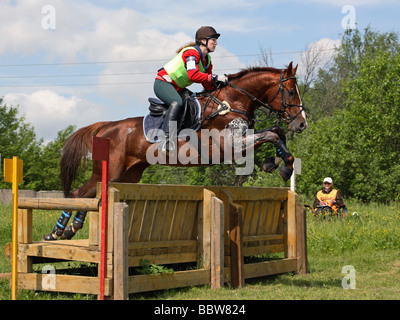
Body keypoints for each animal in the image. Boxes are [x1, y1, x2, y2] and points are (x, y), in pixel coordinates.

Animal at [43, 60, 306, 240]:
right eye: (290, 91)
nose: (302, 123)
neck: (232, 102)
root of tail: (106, 126)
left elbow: (275, 131)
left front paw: (278, 162)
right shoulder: (230, 146)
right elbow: (272, 134)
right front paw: (283, 166)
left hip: (126, 175)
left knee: (94, 195)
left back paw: (70, 229)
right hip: (111, 170)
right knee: (78, 193)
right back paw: (56, 232)